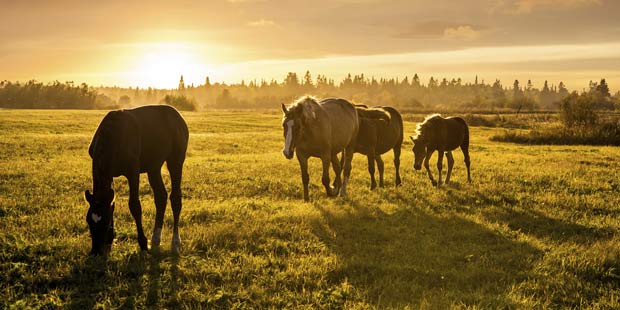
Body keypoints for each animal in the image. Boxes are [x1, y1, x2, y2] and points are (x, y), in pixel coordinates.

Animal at [84, 105, 189, 256]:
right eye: (88, 221)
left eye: (105, 222)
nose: (95, 251)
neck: (112, 136)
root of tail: (177, 116)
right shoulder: (109, 175)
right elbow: (112, 203)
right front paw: (110, 240)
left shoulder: (133, 171)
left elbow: (134, 205)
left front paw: (143, 243)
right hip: (154, 167)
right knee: (161, 196)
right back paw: (156, 238)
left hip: (176, 160)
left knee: (175, 198)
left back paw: (175, 242)